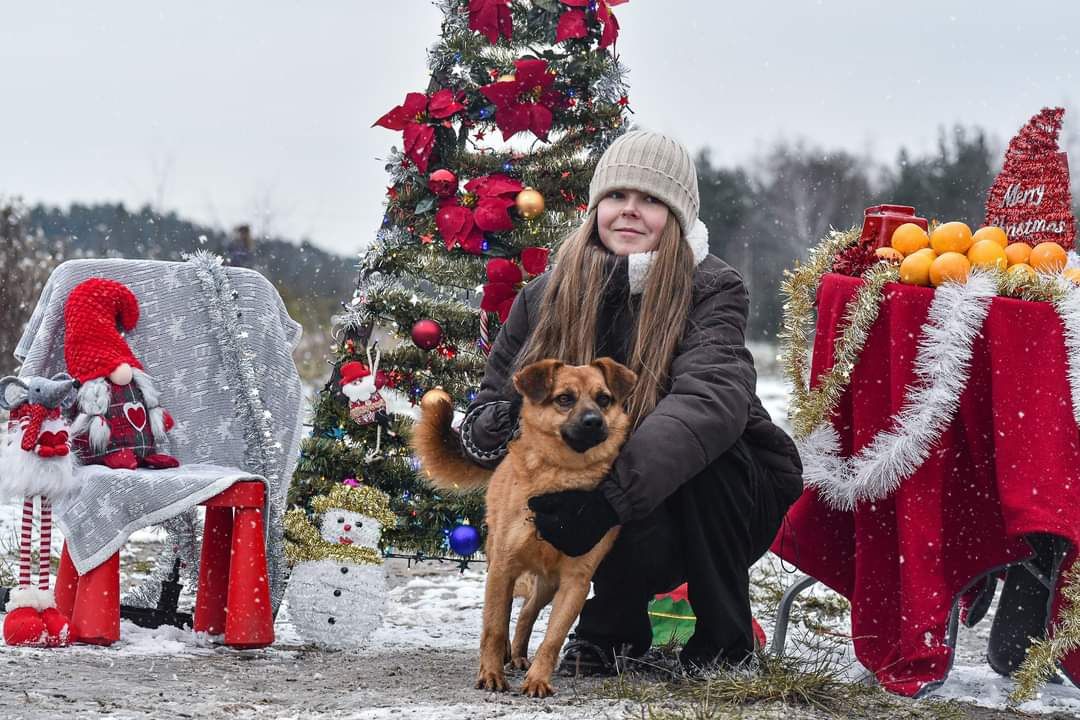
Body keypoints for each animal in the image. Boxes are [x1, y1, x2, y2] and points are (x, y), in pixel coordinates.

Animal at [410, 360, 630, 699]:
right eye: (564, 398)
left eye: (604, 399)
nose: (594, 421)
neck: (562, 478)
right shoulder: (503, 568)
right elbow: (493, 626)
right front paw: (490, 675)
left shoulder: (576, 582)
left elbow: (552, 638)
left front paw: (539, 679)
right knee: (502, 617)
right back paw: (503, 656)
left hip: (549, 584)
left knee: (527, 613)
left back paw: (520, 656)